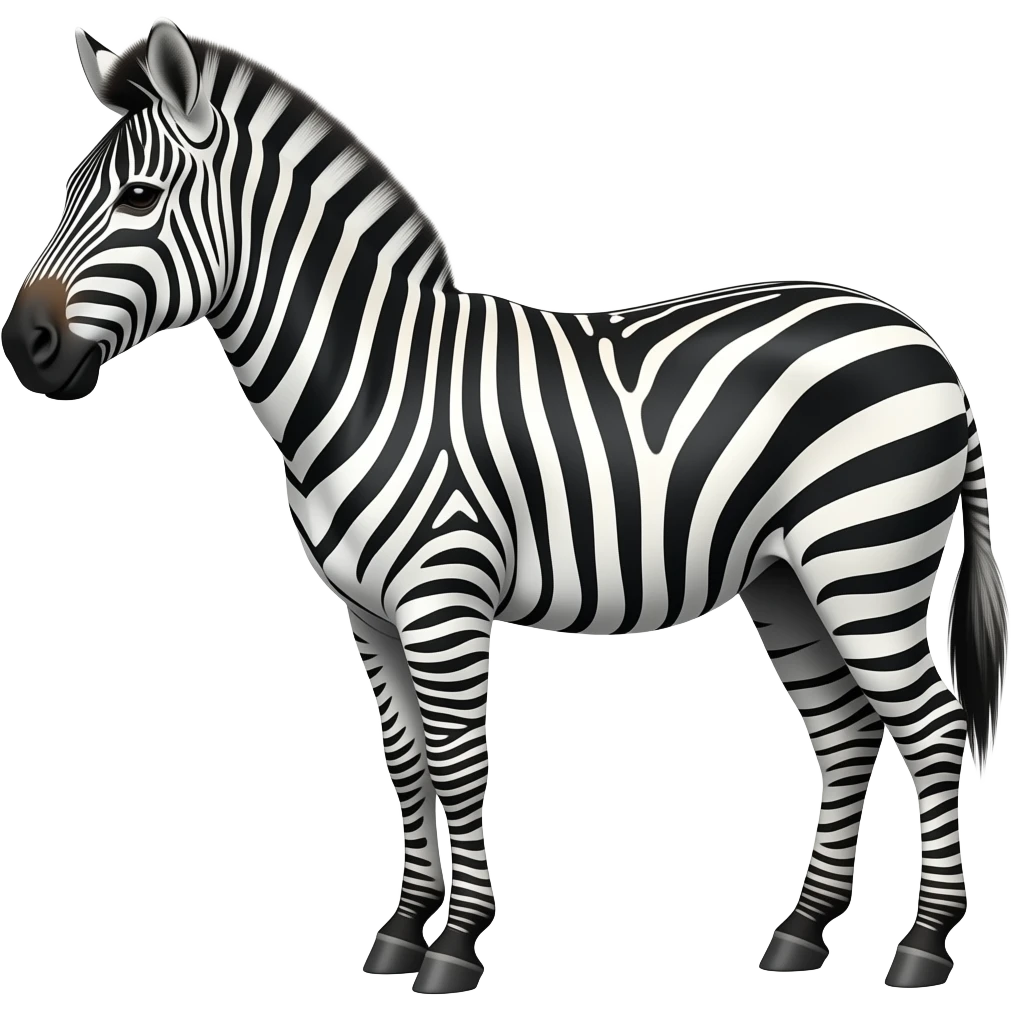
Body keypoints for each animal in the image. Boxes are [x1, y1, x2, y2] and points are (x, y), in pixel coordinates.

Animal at [2, 19, 1006, 995]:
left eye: (138, 198)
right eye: (69, 190)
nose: (25, 346)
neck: (369, 382)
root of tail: (927, 342)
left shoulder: (442, 596)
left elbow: (458, 759)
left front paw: (455, 946)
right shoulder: (368, 612)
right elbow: (406, 763)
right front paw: (402, 929)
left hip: (865, 563)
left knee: (931, 727)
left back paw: (922, 946)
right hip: (786, 579)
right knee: (844, 731)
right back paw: (799, 933)